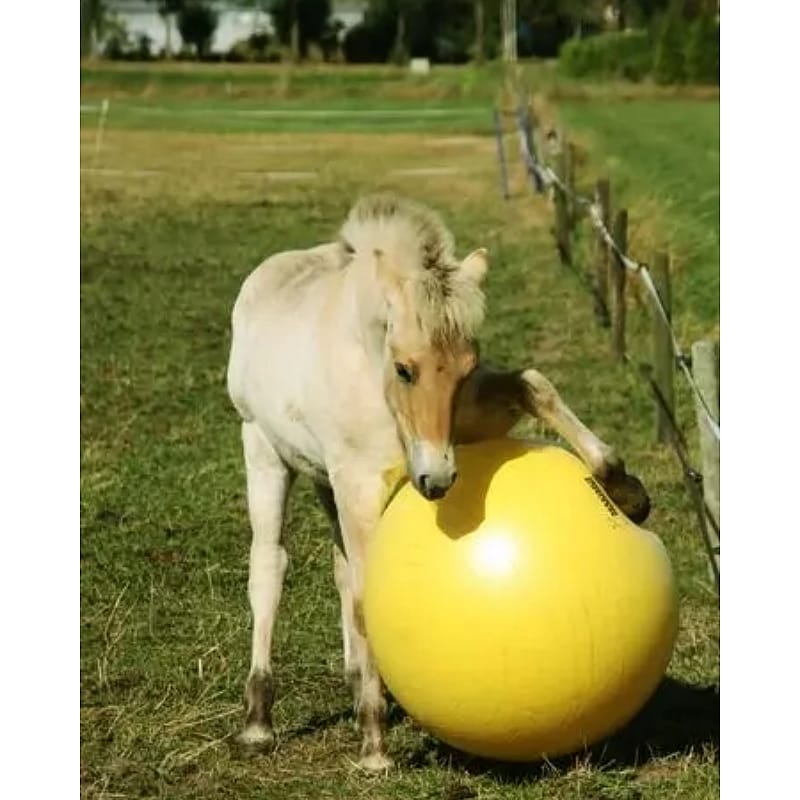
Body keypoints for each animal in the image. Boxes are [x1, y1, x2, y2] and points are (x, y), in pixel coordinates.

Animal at [226, 193, 650, 771]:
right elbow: (367, 596)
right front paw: (375, 747)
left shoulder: (464, 426)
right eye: (406, 369)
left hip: (322, 481)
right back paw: (259, 720)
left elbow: (534, 384)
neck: (372, 372)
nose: (439, 478)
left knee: (338, 569)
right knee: (269, 567)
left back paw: (353, 683)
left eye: (466, 366)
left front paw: (627, 492)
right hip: (265, 453)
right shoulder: (359, 483)